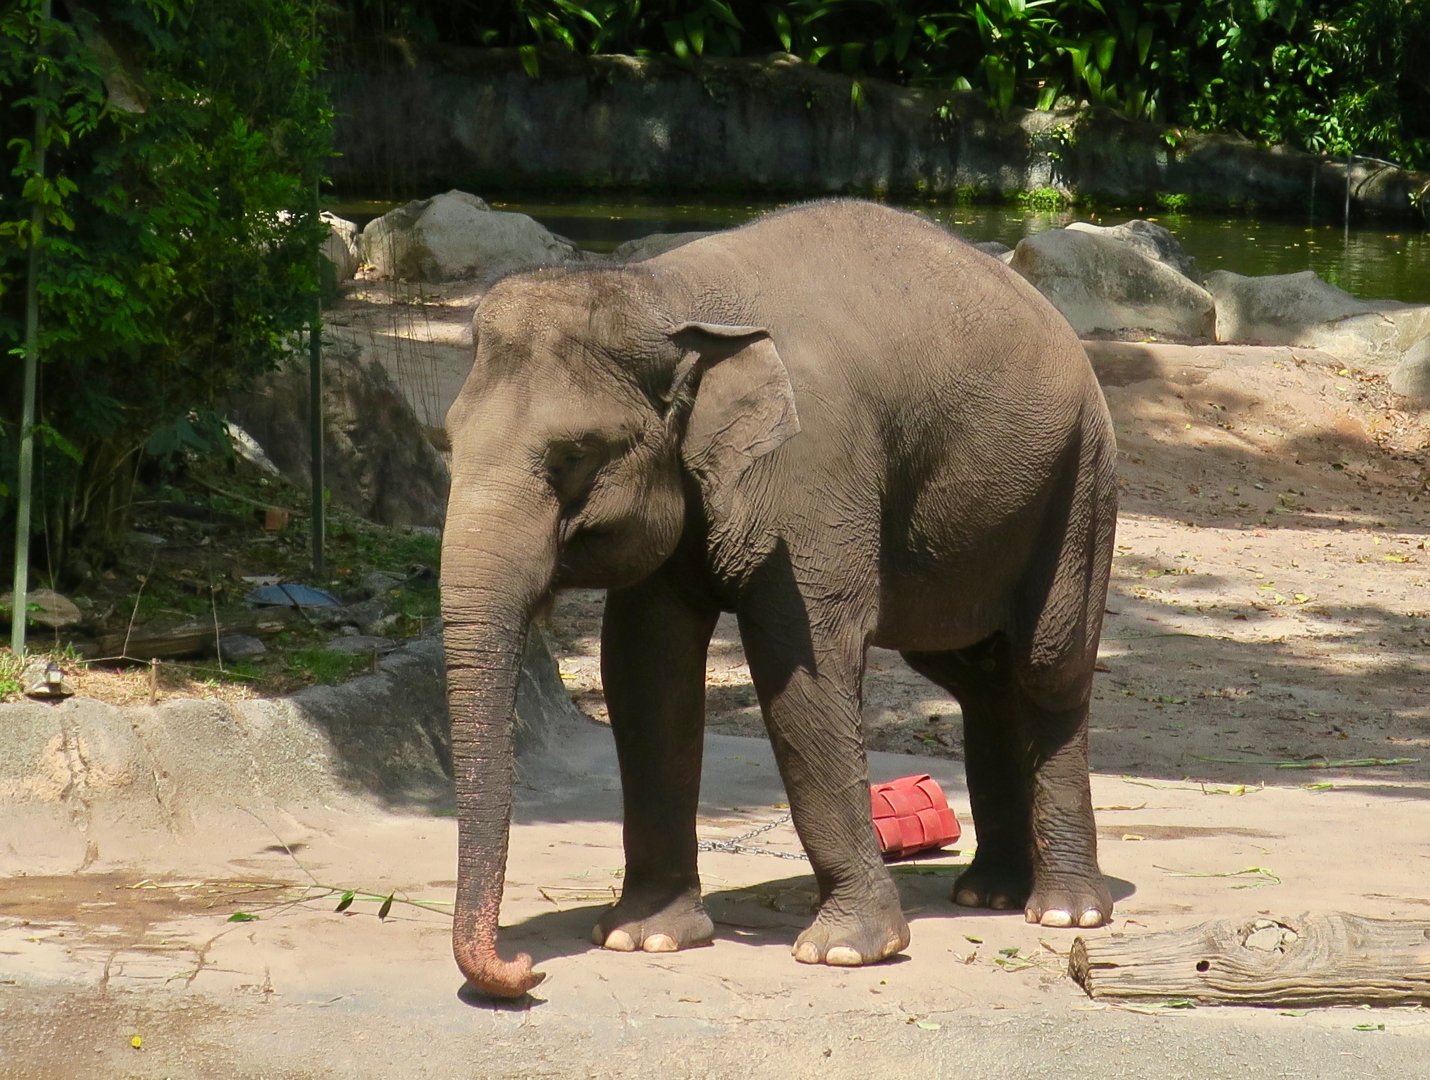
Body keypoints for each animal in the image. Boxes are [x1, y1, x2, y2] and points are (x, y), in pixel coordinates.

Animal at [441, 199, 1118, 999]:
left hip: (1079, 482)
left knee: (1049, 668)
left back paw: (1066, 912)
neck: (667, 292)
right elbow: (645, 671)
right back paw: (989, 893)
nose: (524, 969)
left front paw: (847, 951)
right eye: (448, 441)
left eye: (573, 456)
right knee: (976, 676)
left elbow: (803, 666)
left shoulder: (812, 472)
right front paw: (644, 936)